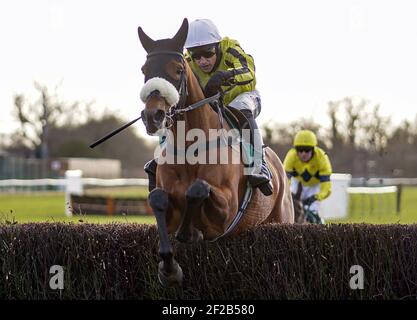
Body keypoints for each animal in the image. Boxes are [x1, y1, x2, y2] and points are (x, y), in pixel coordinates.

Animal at [136, 18, 292, 286]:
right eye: (145, 70)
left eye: (178, 69)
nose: (152, 116)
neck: (190, 148)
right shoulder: (166, 204)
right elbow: (157, 199)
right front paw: (169, 270)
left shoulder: (226, 212)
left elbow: (197, 189)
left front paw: (190, 233)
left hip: (281, 218)